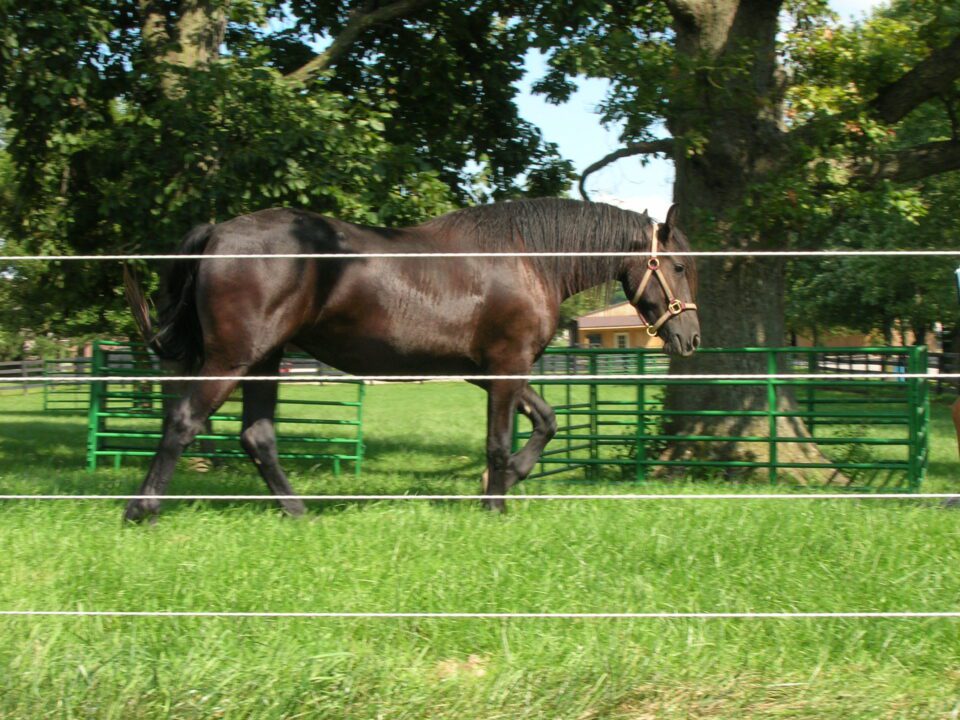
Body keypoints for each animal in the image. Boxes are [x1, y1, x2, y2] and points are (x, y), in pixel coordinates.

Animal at [122, 198, 700, 521]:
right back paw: (142, 510)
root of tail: (218, 233)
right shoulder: (506, 367)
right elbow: (498, 442)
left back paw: (299, 513)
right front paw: (495, 502)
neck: (527, 257)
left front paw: (506, 481)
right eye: (677, 266)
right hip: (233, 360)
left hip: (264, 360)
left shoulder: (490, 373)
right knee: (183, 421)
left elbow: (546, 422)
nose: (691, 337)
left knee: (257, 437)